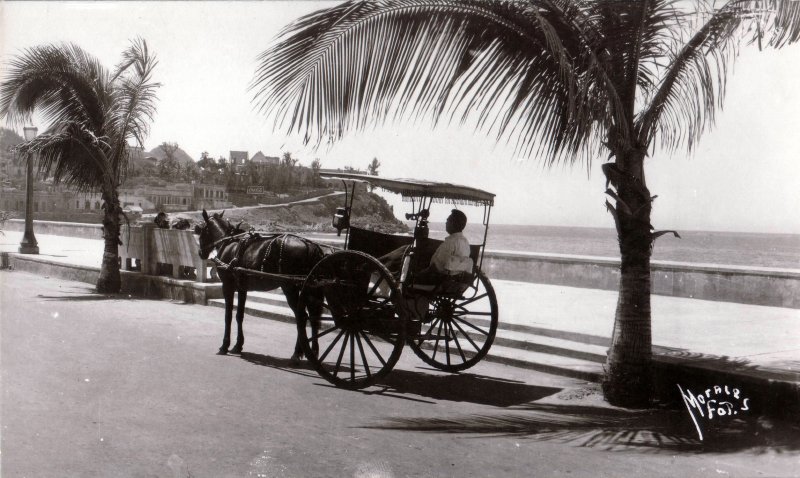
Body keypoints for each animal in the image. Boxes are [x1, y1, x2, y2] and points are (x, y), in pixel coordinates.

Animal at [196, 209, 332, 358]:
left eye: (201, 230)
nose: (200, 253)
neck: (228, 243)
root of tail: (310, 245)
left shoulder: (227, 286)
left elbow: (228, 316)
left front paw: (225, 345)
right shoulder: (242, 288)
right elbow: (239, 315)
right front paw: (238, 345)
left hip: (289, 287)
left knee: (301, 316)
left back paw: (297, 352)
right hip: (307, 287)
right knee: (312, 316)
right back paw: (313, 351)